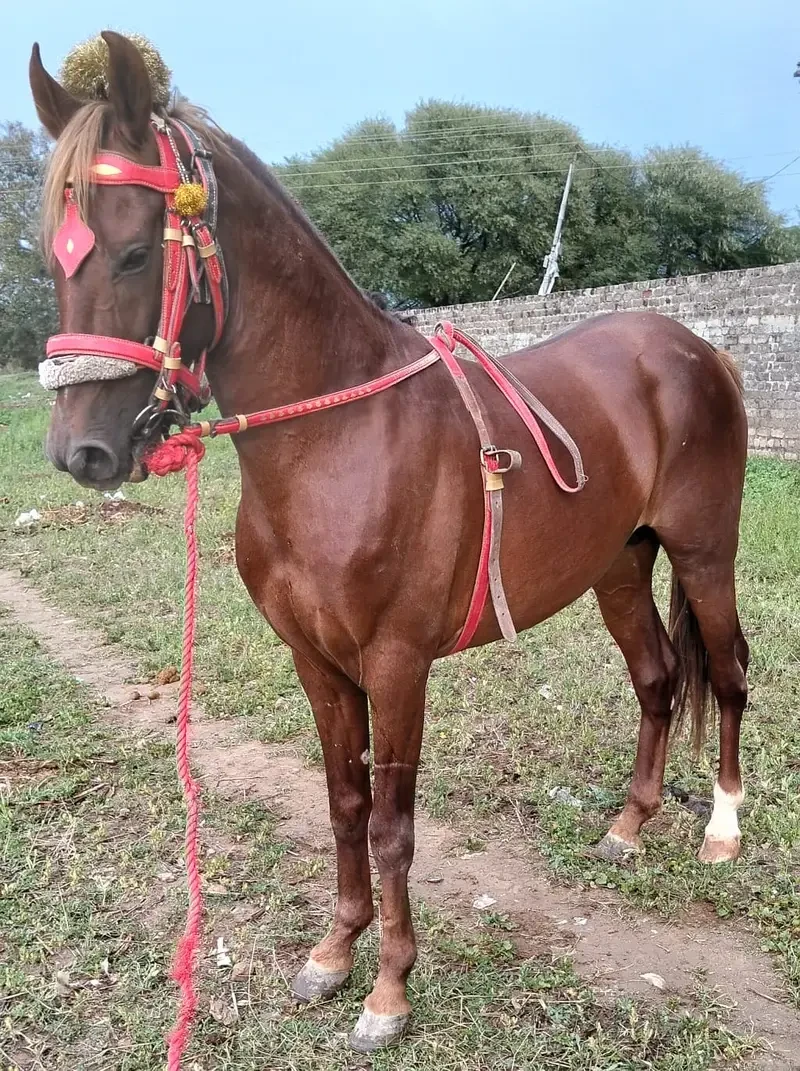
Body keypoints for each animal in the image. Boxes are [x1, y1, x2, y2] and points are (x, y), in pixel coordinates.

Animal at [30, 32, 750, 1053]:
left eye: (134, 253)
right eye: (52, 258)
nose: (80, 451)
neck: (340, 440)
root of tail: (696, 350)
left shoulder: (398, 662)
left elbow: (393, 827)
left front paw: (389, 990)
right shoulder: (317, 661)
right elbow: (344, 803)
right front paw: (335, 953)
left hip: (703, 552)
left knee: (725, 674)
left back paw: (721, 827)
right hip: (619, 562)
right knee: (655, 677)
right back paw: (628, 825)